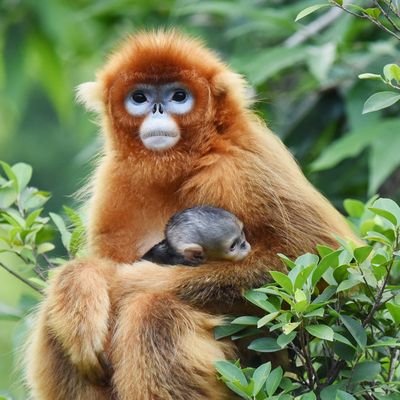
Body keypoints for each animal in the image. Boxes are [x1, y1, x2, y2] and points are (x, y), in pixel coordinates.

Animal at [26, 32, 358, 400]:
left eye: (179, 96)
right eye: (139, 97)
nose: (157, 109)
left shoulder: (243, 165)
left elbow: (325, 266)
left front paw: (135, 281)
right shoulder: (115, 176)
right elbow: (100, 264)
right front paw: (80, 289)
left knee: (154, 312)